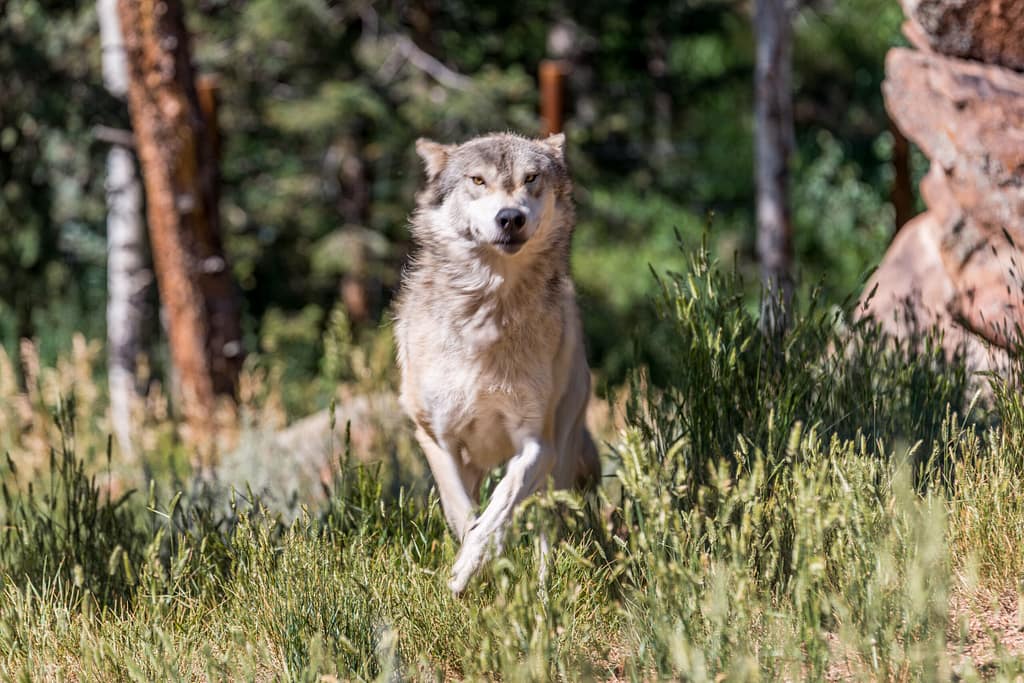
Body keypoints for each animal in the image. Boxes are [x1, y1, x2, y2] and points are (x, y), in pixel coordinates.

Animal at [395, 132, 600, 595]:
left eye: (531, 179)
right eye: (477, 180)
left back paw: (542, 595)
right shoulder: (436, 439)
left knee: (544, 532)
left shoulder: (536, 444)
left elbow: (501, 505)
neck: (488, 314)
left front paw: (475, 563)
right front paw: (470, 573)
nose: (510, 218)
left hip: (560, 460)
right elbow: (462, 513)